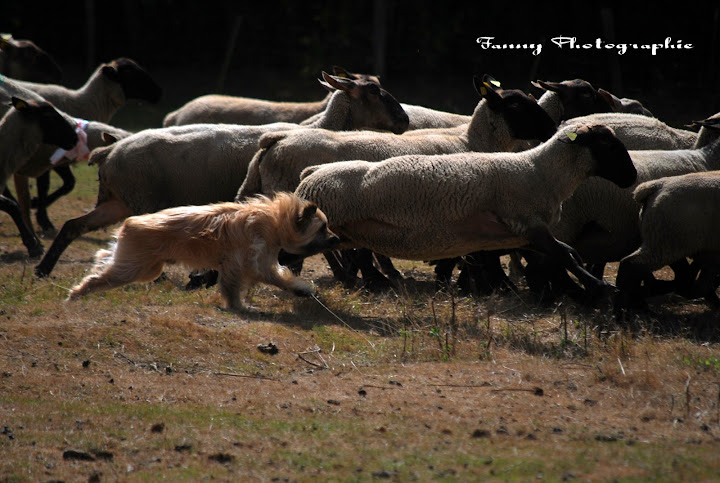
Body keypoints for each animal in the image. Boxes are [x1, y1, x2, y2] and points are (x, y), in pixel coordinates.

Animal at [69, 193, 338, 310]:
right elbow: (241, 286)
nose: (337, 239)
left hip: (144, 266)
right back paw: (76, 294)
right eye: (323, 228)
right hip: (138, 266)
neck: (274, 220)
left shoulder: (251, 263)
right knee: (98, 277)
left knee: (104, 260)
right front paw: (238, 307)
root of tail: (130, 222)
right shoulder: (243, 263)